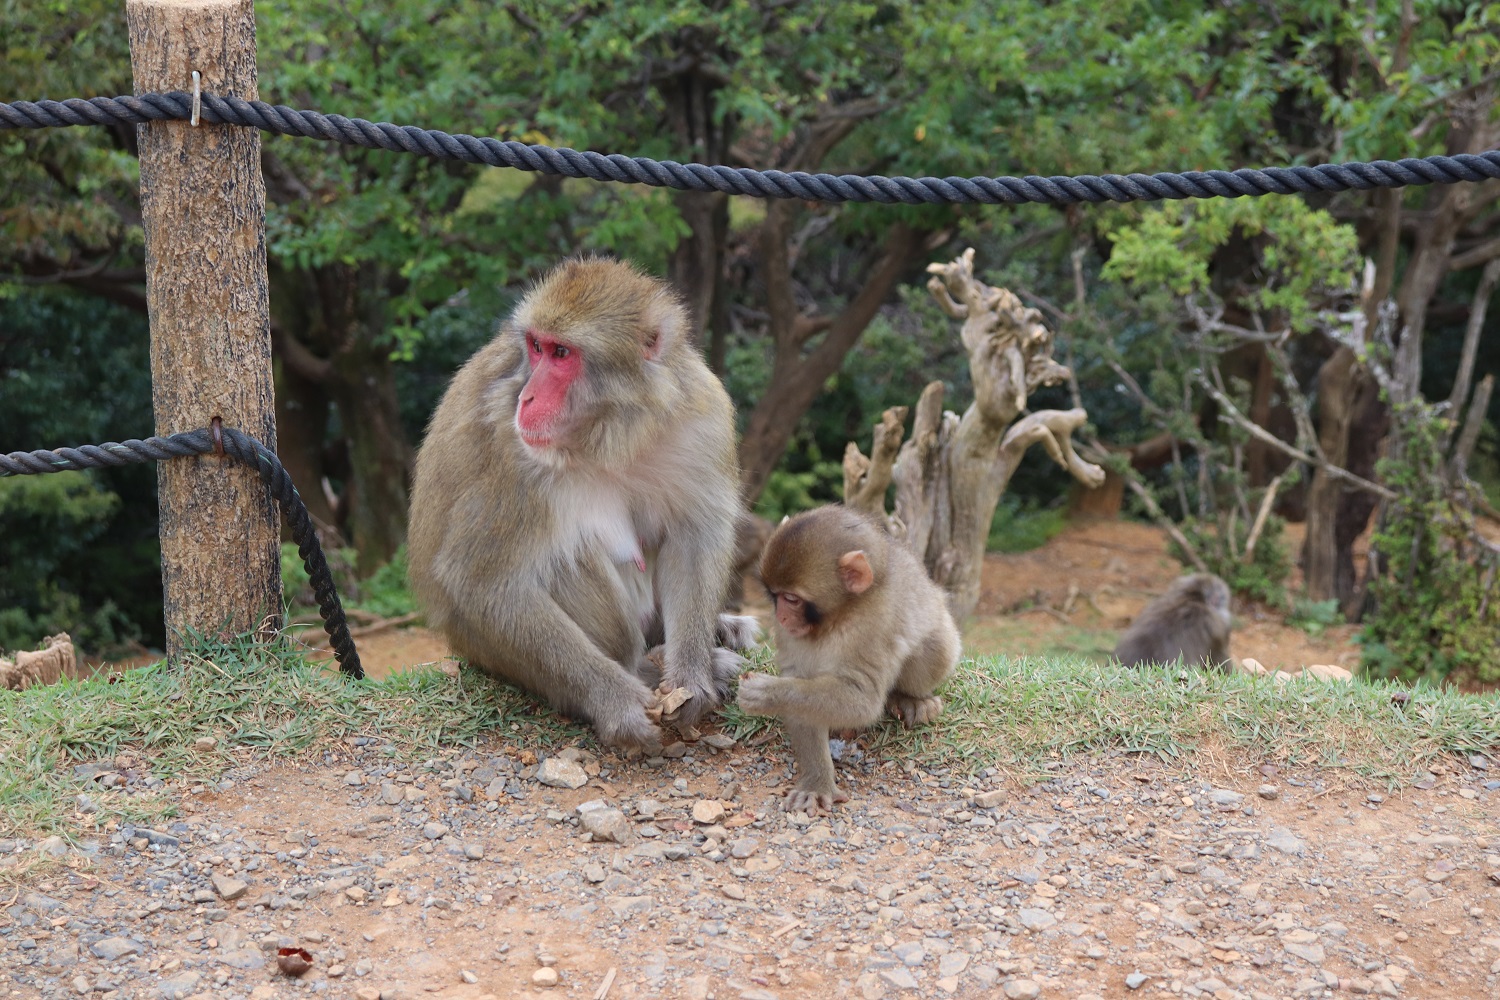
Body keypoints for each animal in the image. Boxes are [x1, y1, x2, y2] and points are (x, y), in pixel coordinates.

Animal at [408, 254, 756, 755]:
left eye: (561, 354)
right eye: (535, 347)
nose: (527, 398)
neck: (609, 432)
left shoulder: (702, 414)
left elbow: (693, 537)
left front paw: (691, 679)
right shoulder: (513, 454)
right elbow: (484, 583)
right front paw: (618, 702)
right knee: (571, 555)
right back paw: (641, 667)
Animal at [735, 509, 960, 815]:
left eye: (792, 599)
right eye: (774, 596)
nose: (781, 617)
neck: (839, 615)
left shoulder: (872, 624)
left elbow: (863, 700)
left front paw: (767, 693)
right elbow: (800, 699)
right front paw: (816, 782)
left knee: (933, 645)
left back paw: (909, 698)